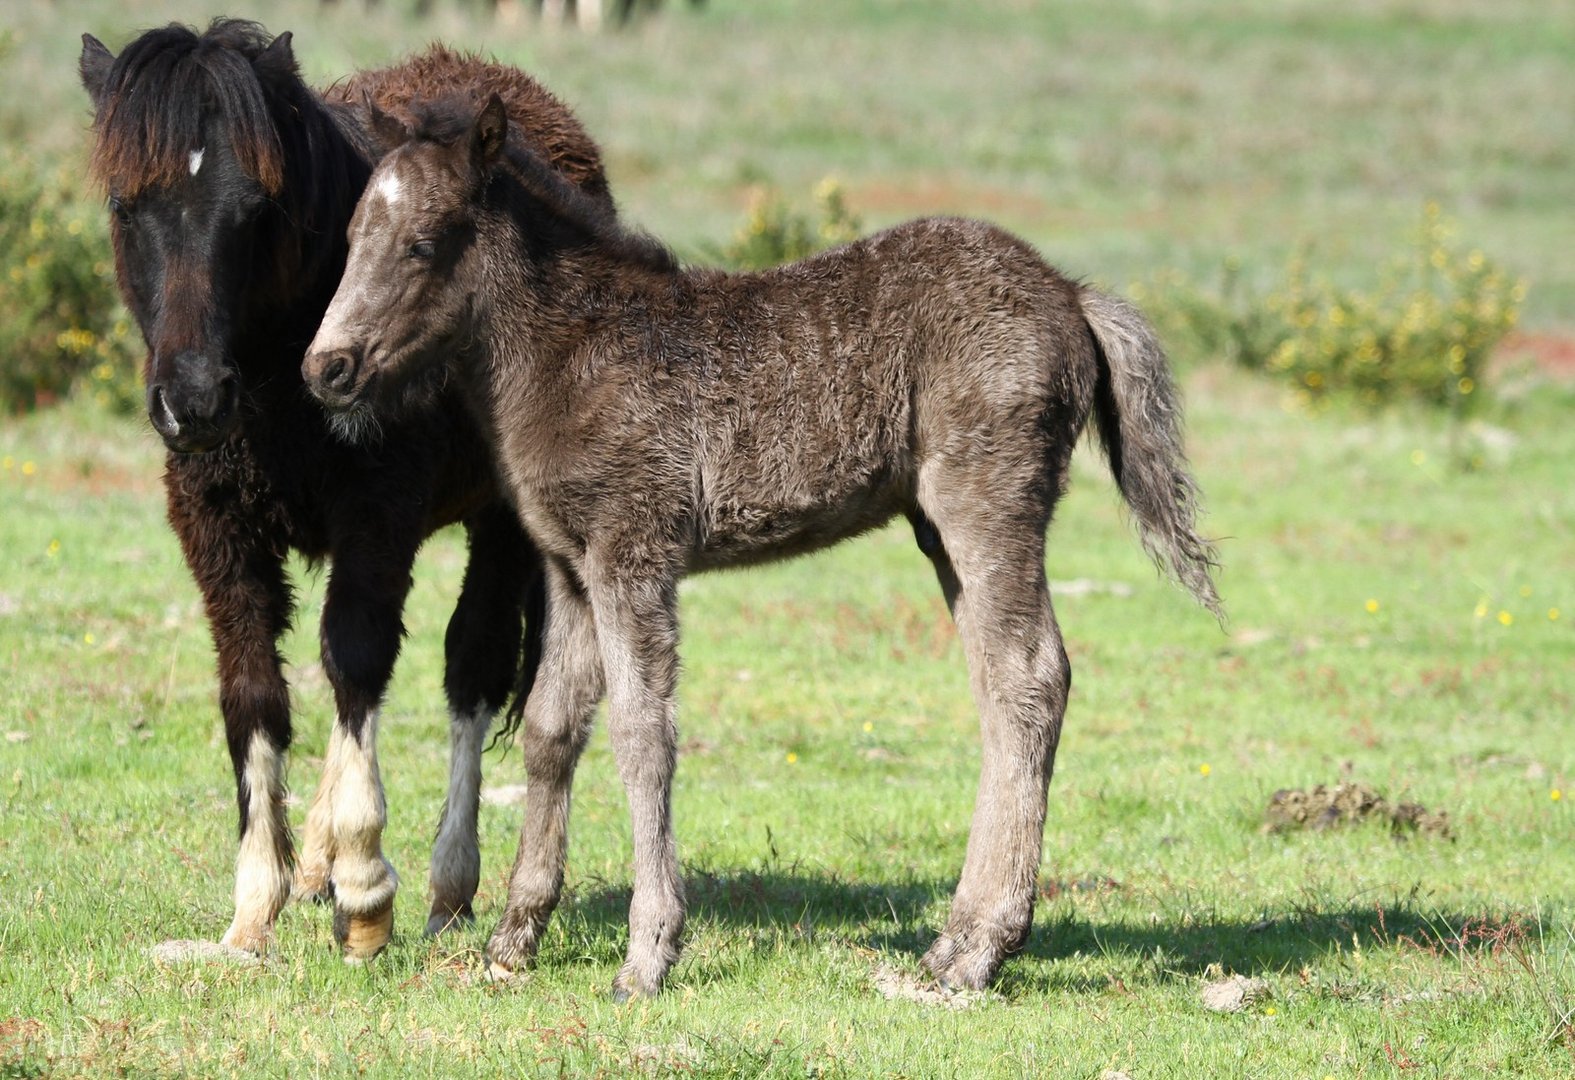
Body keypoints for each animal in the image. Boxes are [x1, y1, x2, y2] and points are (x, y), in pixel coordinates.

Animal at [81, 21, 607, 963]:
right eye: (125, 206)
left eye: (258, 208)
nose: (193, 399)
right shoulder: (215, 530)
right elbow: (254, 691)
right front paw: (257, 906)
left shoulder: (378, 517)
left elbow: (359, 658)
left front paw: (364, 889)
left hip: (503, 524)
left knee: (470, 666)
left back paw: (444, 886)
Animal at [300, 99, 1222, 1001]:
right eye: (351, 235)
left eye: (423, 243)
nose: (326, 367)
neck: (576, 351)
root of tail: (1069, 293)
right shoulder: (568, 568)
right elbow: (551, 730)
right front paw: (513, 938)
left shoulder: (633, 554)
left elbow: (643, 736)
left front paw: (648, 954)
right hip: (939, 529)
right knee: (998, 685)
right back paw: (953, 942)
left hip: (988, 500)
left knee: (1031, 676)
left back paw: (981, 952)